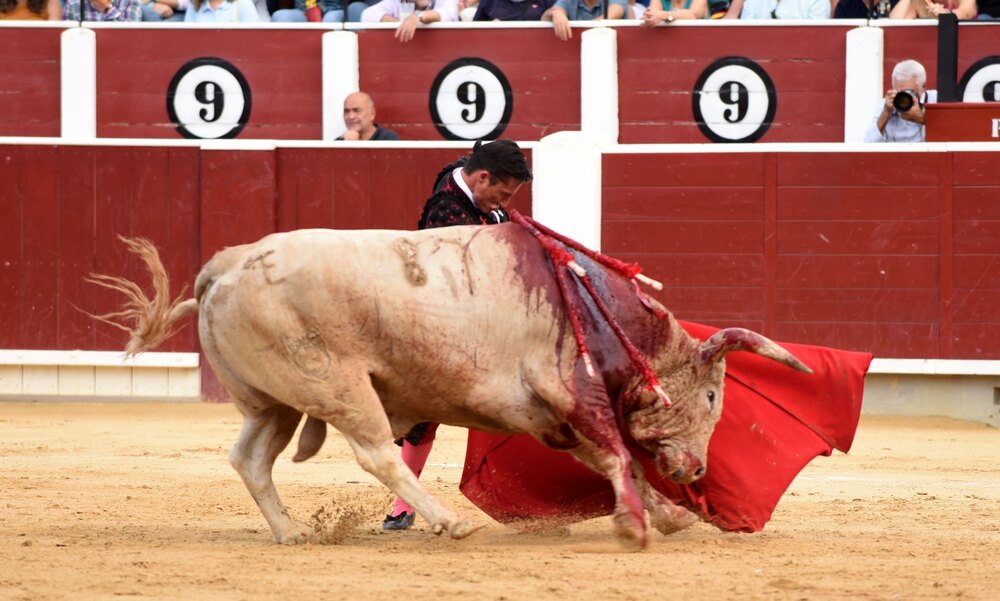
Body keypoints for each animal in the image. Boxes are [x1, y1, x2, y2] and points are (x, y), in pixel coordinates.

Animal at [92, 225, 812, 548]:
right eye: (714, 396)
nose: (696, 471)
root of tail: (226, 264)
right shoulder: (572, 395)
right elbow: (616, 453)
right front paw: (638, 524)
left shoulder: (554, 416)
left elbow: (618, 459)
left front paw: (668, 514)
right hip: (338, 384)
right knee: (377, 453)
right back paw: (448, 520)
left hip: (276, 400)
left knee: (249, 457)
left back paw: (292, 531)